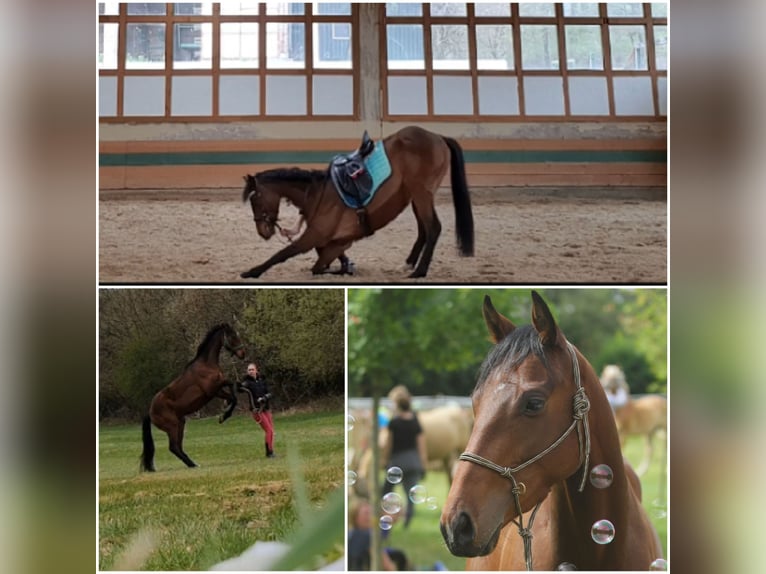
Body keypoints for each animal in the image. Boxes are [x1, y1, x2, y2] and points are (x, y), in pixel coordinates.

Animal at [140, 323, 246, 471]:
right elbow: (234, 394)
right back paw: (192, 464)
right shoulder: (213, 390)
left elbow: (234, 389)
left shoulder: (219, 388)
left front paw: (225, 408)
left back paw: (193, 464)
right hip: (172, 427)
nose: (242, 354)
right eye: (232, 336)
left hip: (181, 423)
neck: (206, 365)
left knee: (178, 447)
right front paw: (223, 416)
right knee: (173, 447)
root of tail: (150, 412)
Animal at [240, 125, 474, 279]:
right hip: (416, 196)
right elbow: (324, 261)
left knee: (433, 227)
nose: (263, 232)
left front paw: (252, 272)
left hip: (421, 193)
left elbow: (284, 254)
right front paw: (345, 267)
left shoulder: (314, 235)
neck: (316, 193)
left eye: (255, 199)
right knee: (424, 229)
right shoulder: (333, 240)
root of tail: (438, 136)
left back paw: (419, 271)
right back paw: (409, 264)